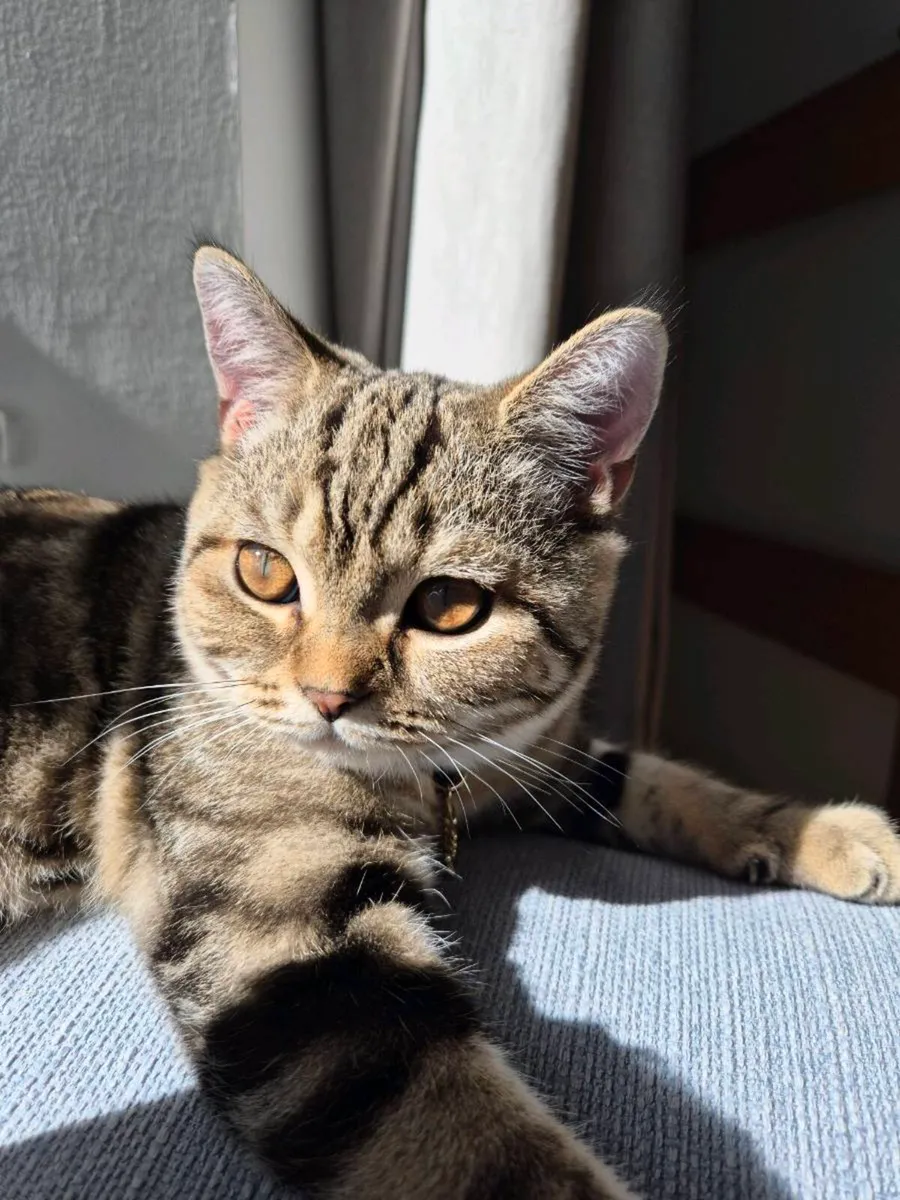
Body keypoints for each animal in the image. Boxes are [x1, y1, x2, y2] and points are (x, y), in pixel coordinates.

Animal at [1, 246, 897, 1200]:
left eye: (448, 606)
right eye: (263, 572)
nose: (326, 697)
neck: (436, 787)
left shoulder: (539, 754)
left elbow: (653, 778)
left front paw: (825, 832)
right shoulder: (284, 927)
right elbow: (465, 1135)